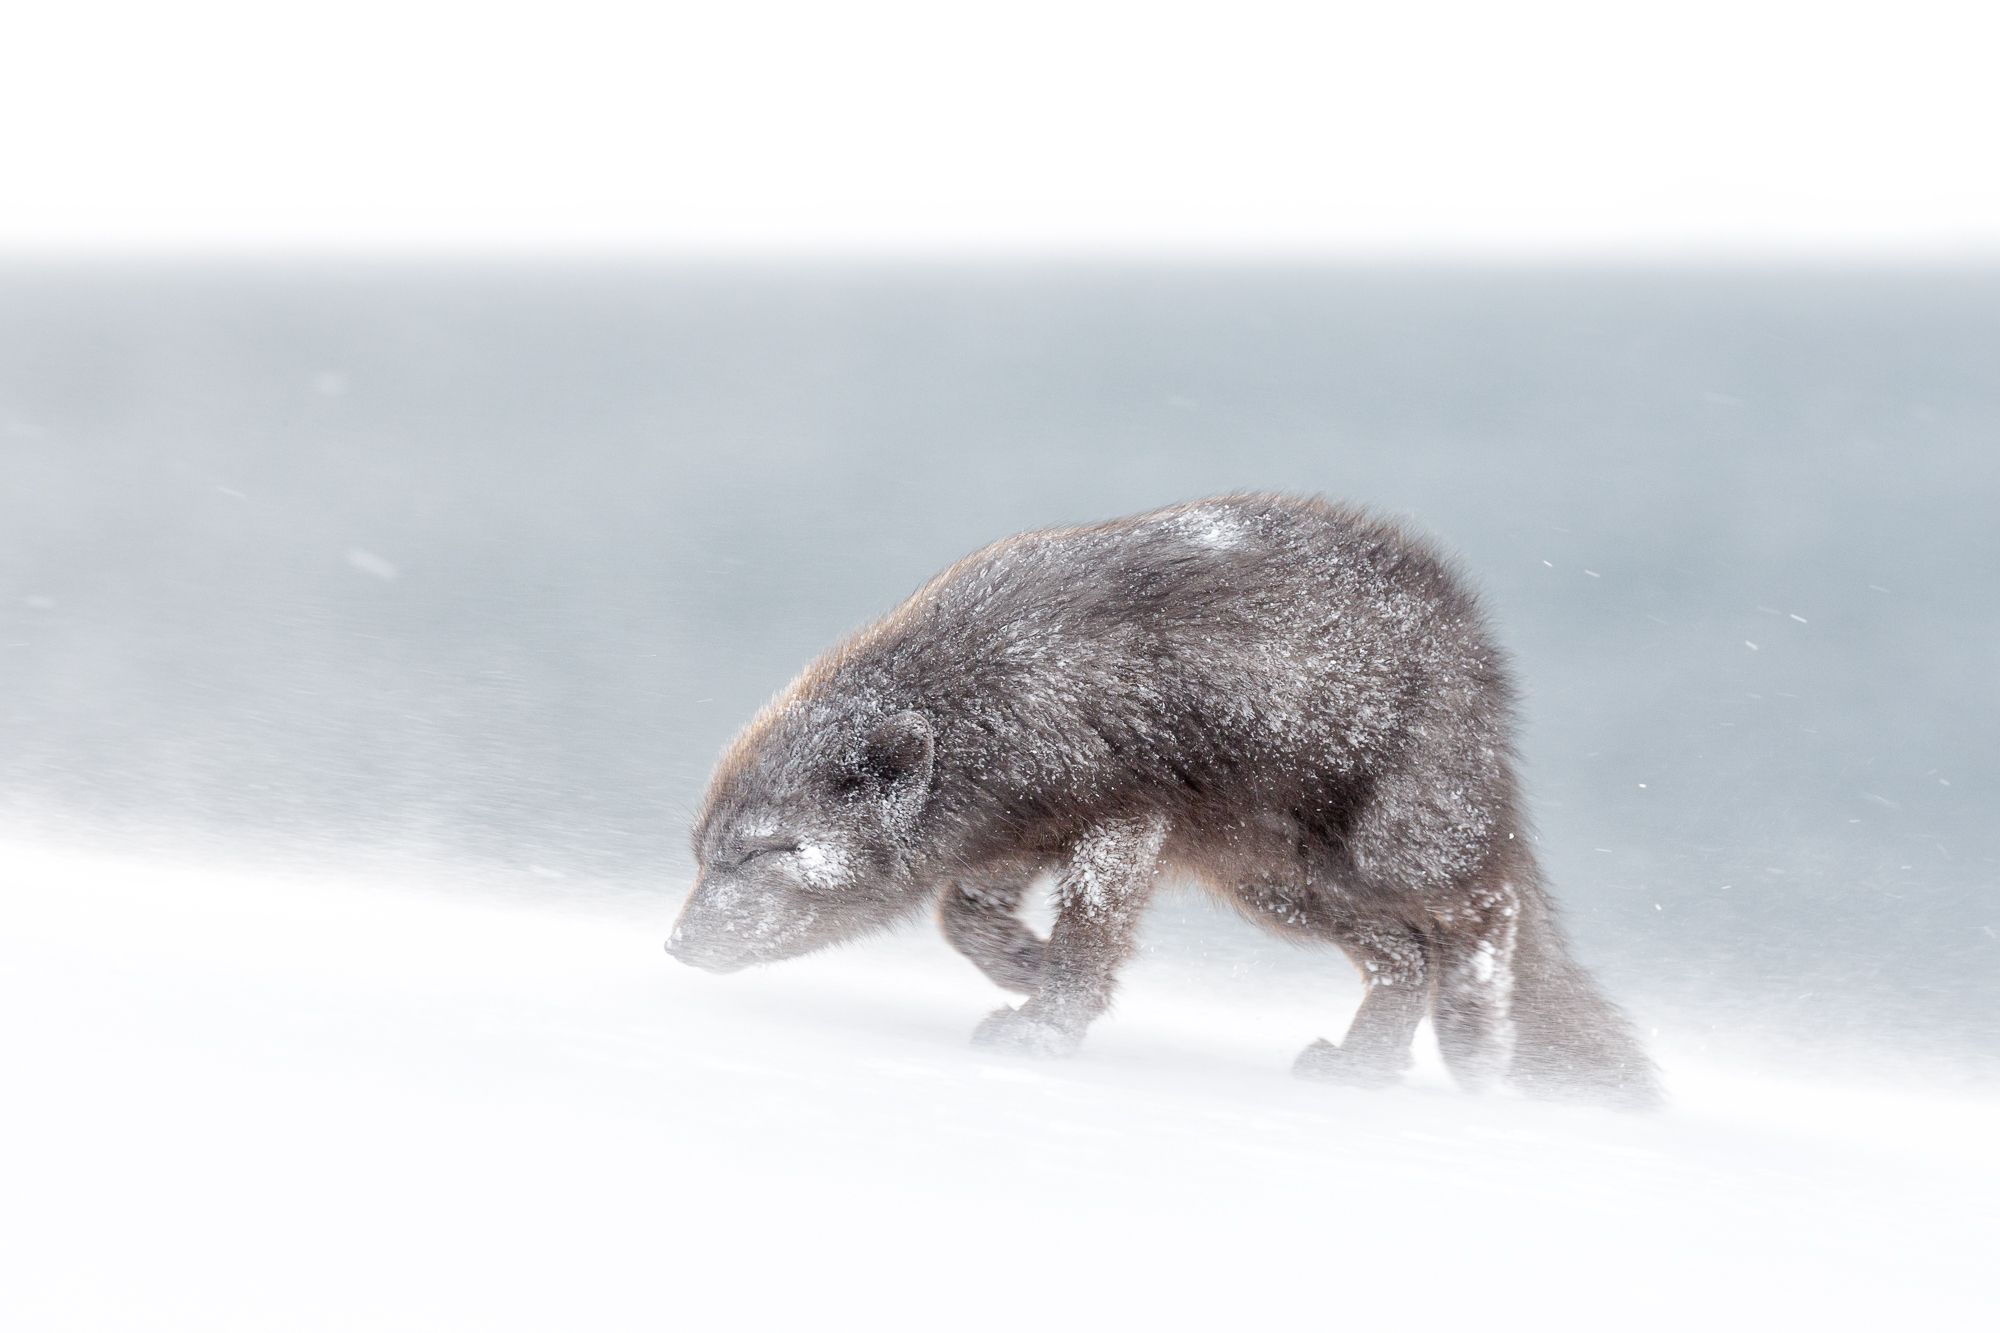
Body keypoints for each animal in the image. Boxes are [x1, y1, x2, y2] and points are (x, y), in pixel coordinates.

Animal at [664, 488, 1664, 1096]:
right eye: (704, 856)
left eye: (762, 851)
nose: (673, 944)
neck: (987, 697)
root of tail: (1477, 649)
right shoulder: (1018, 836)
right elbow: (963, 917)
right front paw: (1025, 966)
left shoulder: (1120, 820)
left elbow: (1084, 933)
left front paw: (1046, 1027)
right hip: (1281, 887)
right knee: (1407, 957)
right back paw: (1363, 1069)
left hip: (1389, 855)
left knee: (1489, 911)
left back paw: (1477, 1042)